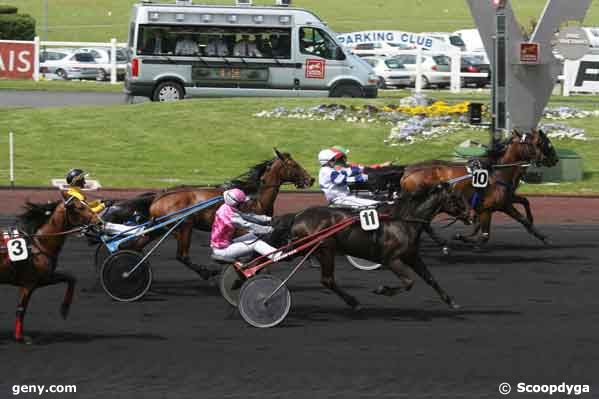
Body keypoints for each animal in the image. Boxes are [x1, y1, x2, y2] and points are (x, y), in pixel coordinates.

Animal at [0, 194, 100, 344]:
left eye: (86, 203)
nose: (99, 222)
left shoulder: (44, 278)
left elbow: (71, 278)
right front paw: (20, 337)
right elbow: (21, 308)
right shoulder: (29, 283)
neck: (37, 244)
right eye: (80, 207)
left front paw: (64, 309)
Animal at [119, 148, 312, 276]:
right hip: (184, 227)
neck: (255, 197)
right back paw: (207, 273)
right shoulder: (243, 229)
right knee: (182, 256)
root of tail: (159, 196)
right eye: (294, 165)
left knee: (134, 246)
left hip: (160, 228)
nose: (310, 179)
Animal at [278, 183, 472, 310]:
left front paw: (451, 301)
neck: (403, 221)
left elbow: (430, 279)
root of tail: (298, 216)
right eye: (456, 197)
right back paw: (353, 302)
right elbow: (409, 282)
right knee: (327, 280)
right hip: (325, 250)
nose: (471, 215)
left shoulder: (412, 256)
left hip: (311, 249)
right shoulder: (392, 259)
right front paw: (383, 290)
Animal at [400, 129, 560, 247]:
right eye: (545, 143)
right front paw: (462, 237)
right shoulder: (490, 208)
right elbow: (485, 236)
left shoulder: (505, 201)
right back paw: (439, 240)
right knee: (423, 223)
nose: (555, 159)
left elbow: (525, 207)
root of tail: (407, 172)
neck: (497, 172)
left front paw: (542, 234)